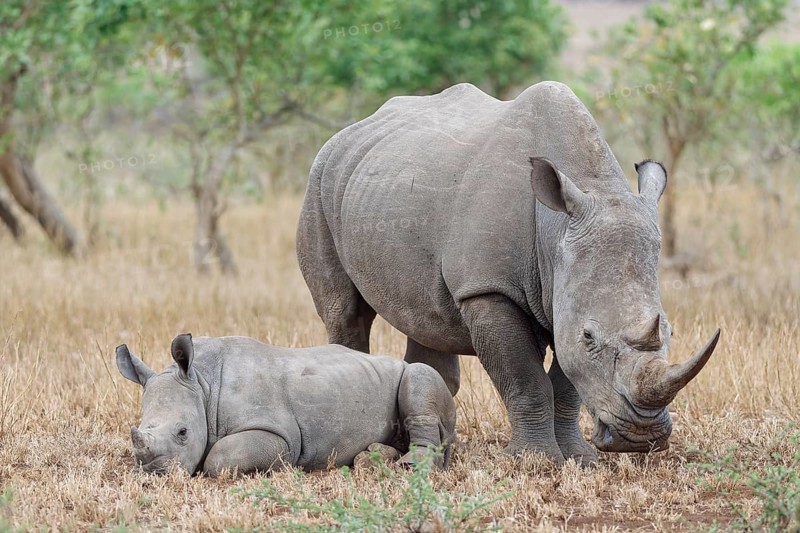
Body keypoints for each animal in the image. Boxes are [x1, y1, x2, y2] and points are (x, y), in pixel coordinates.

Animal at [116, 334, 456, 476]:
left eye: (183, 432)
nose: (156, 474)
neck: (201, 382)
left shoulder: (279, 434)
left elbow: (221, 458)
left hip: (416, 375)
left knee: (420, 375)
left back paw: (410, 467)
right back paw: (371, 457)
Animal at [296, 81, 720, 465]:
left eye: (671, 332)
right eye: (589, 338)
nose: (641, 436)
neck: (556, 228)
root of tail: (347, 133)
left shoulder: (563, 294)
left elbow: (566, 384)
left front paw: (579, 458)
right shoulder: (487, 289)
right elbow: (525, 379)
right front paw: (533, 461)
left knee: (424, 318)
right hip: (318, 182)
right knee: (345, 312)